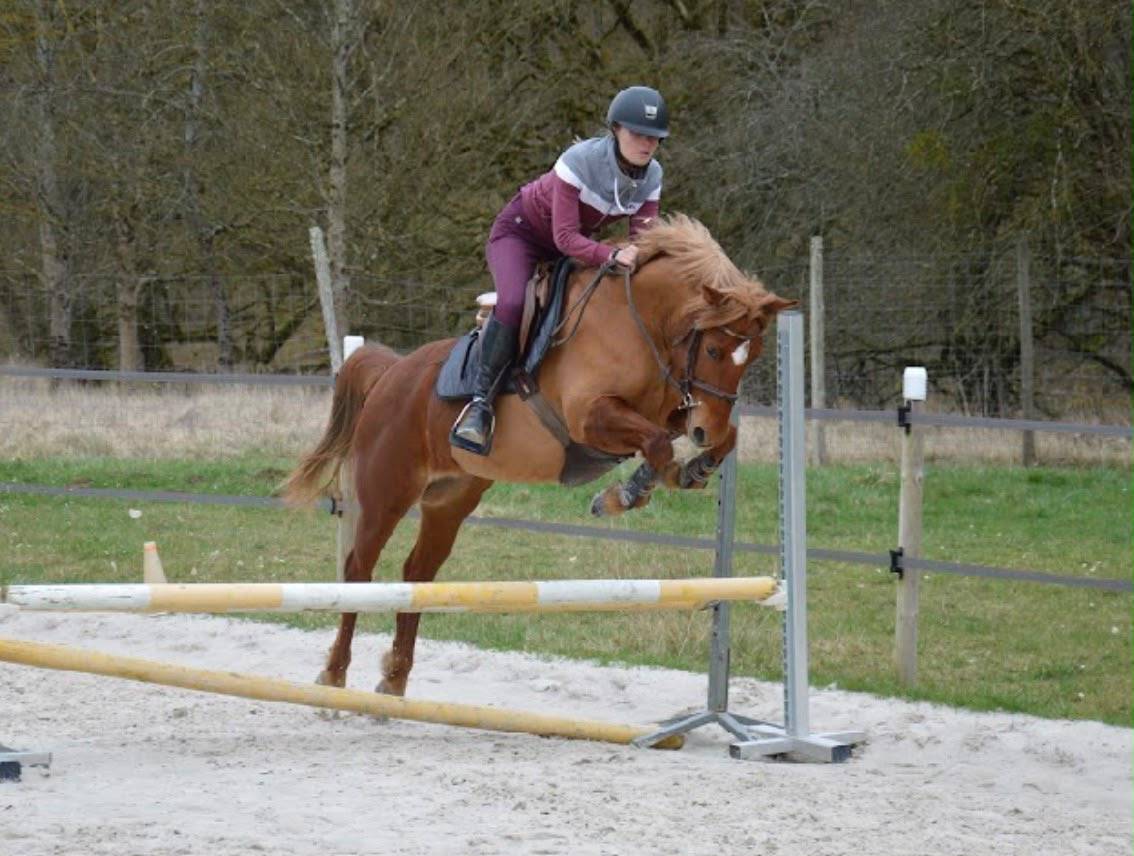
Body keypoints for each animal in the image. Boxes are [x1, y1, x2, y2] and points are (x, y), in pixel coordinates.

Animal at [282, 214, 796, 696]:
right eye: (713, 348)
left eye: (753, 355)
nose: (704, 431)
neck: (640, 324)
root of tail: (392, 371)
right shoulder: (591, 419)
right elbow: (657, 444)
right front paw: (624, 495)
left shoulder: (669, 412)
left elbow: (705, 438)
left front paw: (695, 467)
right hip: (387, 491)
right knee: (359, 570)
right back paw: (334, 672)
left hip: (449, 498)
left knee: (418, 574)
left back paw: (395, 678)